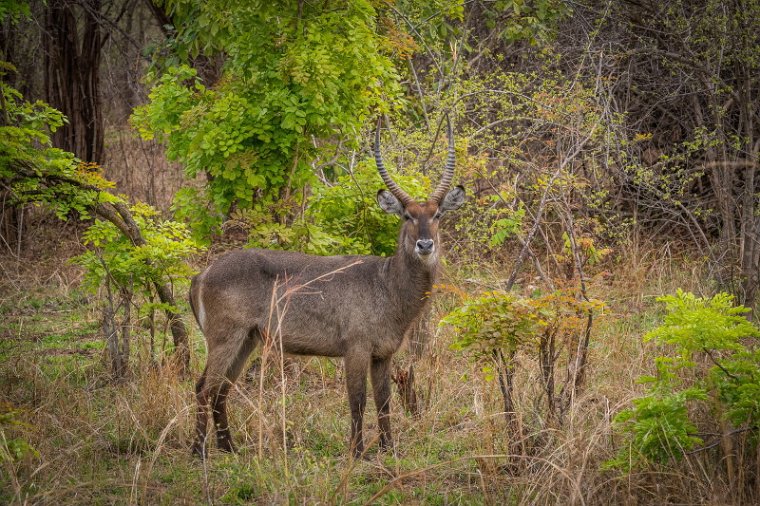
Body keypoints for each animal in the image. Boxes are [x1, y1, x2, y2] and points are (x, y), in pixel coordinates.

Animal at [190, 119, 464, 458]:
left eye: (437, 214)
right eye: (407, 215)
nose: (424, 245)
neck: (387, 284)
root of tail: (202, 274)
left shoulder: (383, 354)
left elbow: (384, 402)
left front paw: (389, 449)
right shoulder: (356, 348)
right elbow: (358, 401)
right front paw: (357, 453)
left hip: (247, 340)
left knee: (221, 390)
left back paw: (229, 448)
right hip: (225, 338)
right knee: (204, 388)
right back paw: (199, 452)